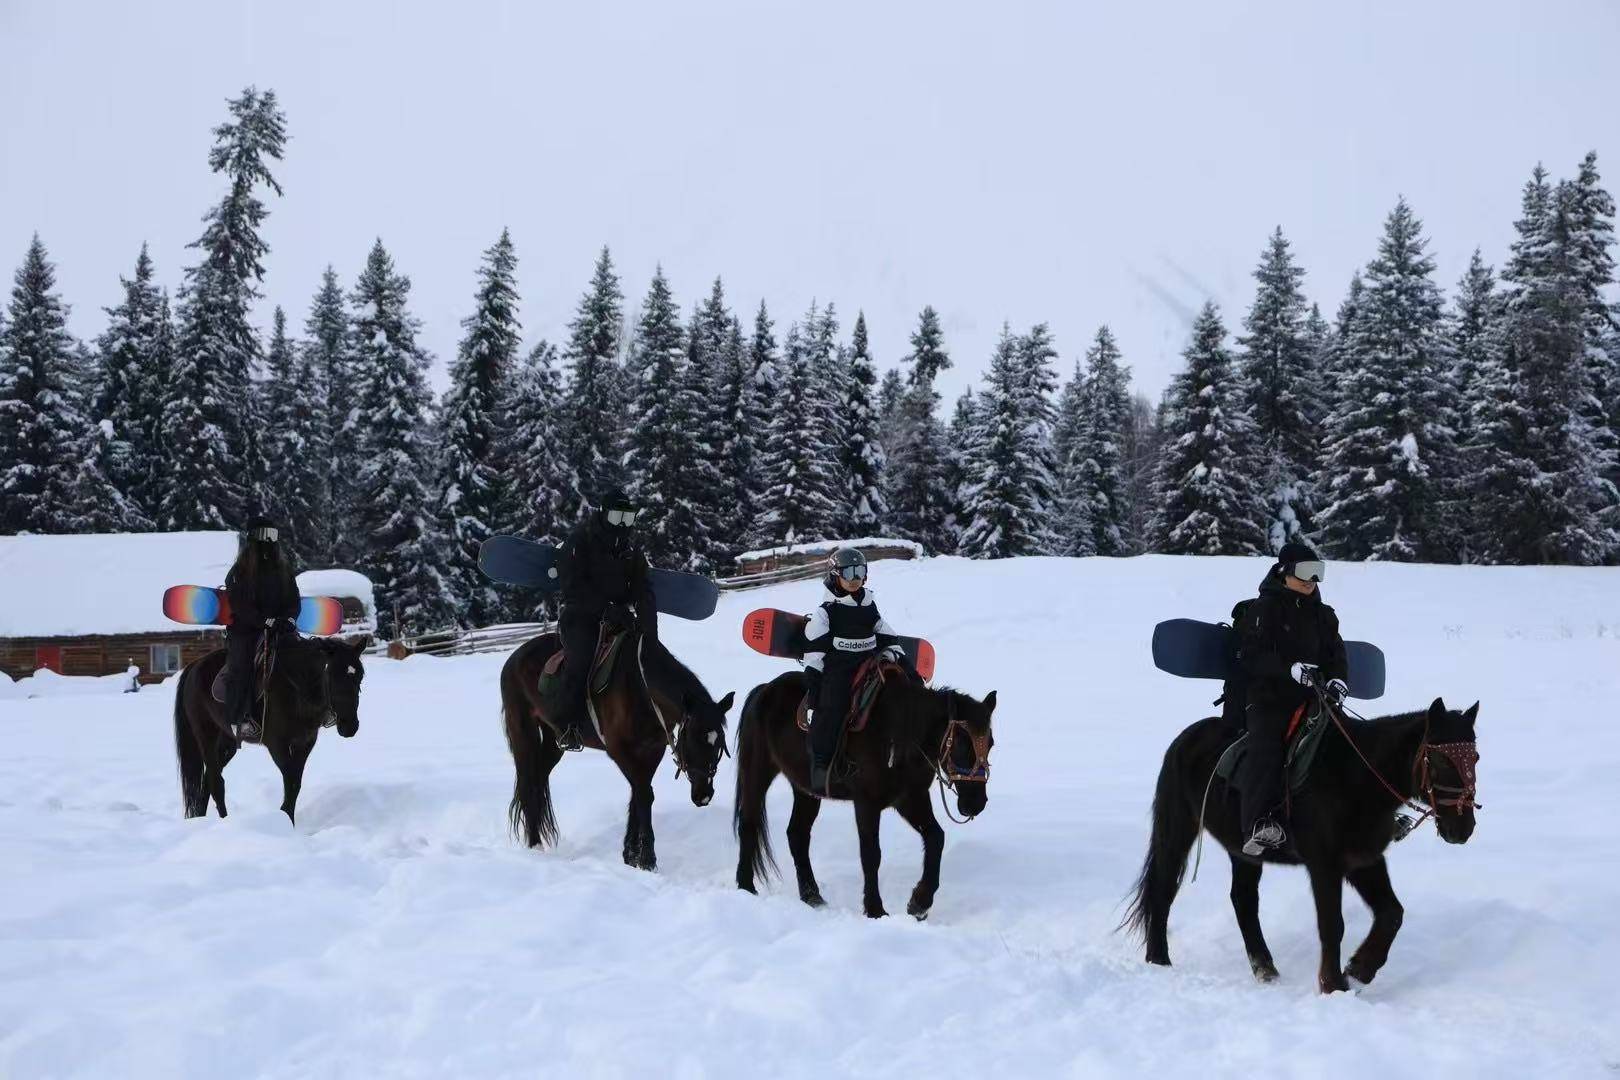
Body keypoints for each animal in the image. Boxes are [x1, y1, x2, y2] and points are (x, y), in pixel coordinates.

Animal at [174, 634, 370, 829]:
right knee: (216, 782)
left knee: (207, 781)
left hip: (226, 744)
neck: (296, 686)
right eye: (332, 675)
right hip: (206, 735)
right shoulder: (277, 745)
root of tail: (194, 666)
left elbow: (296, 783)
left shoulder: (304, 743)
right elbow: (290, 781)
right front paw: (286, 820)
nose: (349, 726)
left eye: (360, 676)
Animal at [495, 625, 738, 867]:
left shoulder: (652, 751)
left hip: (553, 740)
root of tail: (513, 658)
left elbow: (636, 796)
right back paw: (534, 845)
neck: (641, 689)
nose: (703, 795)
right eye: (692, 739)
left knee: (537, 781)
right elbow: (644, 795)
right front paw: (647, 859)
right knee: (528, 784)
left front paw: (630, 855)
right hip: (524, 732)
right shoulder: (620, 751)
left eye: (719, 743)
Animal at [738, 670, 997, 919]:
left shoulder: (911, 799)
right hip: (757, 773)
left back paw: (813, 897)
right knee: (748, 824)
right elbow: (871, 854)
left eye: (991, 743)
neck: (898, 735)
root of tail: (763, 690)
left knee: (797, 834)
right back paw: (745, 886)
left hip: (805, 791)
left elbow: (936, 837)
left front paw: (919, 904)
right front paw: (875, 910)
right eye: (962, 743)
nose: (976, 803)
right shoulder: (867, 803)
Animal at [1127, 693, 1483, 997]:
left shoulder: (1364, 860)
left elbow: (1392, 914)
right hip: (1177, 829)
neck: (1355, 779)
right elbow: (1332, 924)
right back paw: (1159, 960)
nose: (1462, 828)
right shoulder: (1324, 865)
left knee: (1243, 900)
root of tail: (1186, 738)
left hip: (1243, 851)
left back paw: (1265, 969)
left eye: (1475, 757)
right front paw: (1333, 985)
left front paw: (1359, 970)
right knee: (1163, 889)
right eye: (1439, 758)